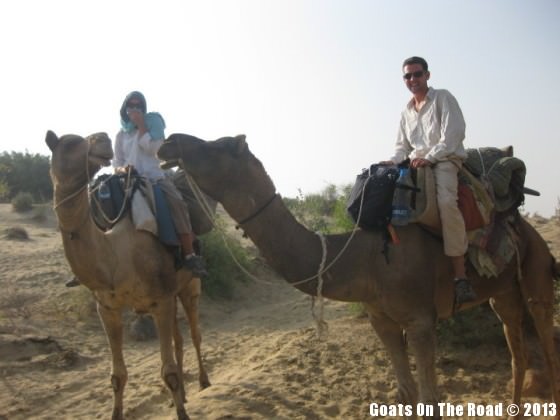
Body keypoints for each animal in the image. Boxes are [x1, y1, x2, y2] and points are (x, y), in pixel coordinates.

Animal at [46, 131, 210, 420]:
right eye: (70, 143)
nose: (101, 139)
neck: (115, 256)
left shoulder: (160, 301)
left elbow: (167, 370)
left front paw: (182, 413)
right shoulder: (107, 308)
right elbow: (117, 375)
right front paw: (117, 413)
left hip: (190, 286)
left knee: (194, 334)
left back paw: (203, 382)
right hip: (173, 292)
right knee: (179, 340)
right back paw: (181, 397)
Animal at [158, 134, 560, 420]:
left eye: (220, 144)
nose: (170, 142)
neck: (365, 258)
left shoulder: (420, 319)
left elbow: (430, 399)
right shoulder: (381, 319)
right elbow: (406, 393)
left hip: (537, 272)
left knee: (546, 342)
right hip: (502, 291)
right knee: (517, 350)